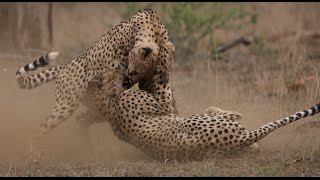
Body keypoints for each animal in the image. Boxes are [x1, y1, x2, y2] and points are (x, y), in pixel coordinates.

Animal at [15, 9, 176, 135]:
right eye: (134, 72)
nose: (128, 79)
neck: (152, 29)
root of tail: (66, 66)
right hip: (67, 104)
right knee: (41, 128)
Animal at [92, 41, 320, 162]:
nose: (125, 73)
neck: (107, 101)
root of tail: (241, 139)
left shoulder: (169, 106)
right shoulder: (163, 101)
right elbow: (163, 83)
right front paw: (163, 48)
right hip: (193, 122)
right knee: (220, 114)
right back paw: (236, 115)